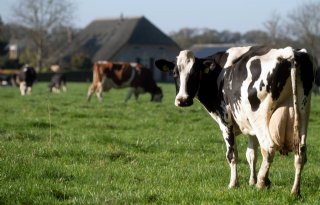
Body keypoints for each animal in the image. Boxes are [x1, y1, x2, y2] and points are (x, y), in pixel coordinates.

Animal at [156, 45, 316, 195]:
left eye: (195, 73)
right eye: (175, 73)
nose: (182, 100)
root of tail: (289, 52)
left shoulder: (225, 120)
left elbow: (232, 154)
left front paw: (234, 183)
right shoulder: (250, 127)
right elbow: (251, 154)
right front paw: (253, 181)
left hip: (260, 118)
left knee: (269, 148)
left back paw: (261, 183)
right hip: (302, 113)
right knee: (301, 152)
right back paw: (295, 191)